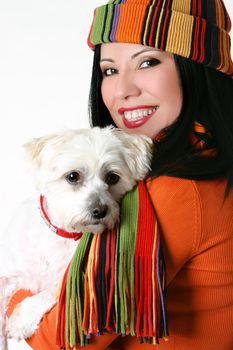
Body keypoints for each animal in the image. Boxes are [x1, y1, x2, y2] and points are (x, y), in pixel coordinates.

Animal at [0, 127, 153, 348]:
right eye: (73, 176)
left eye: (112, 178)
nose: (100, 210)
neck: (64, 234)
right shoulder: (7, 273)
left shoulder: (73, 281)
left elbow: (51, 291)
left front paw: (22, 319)